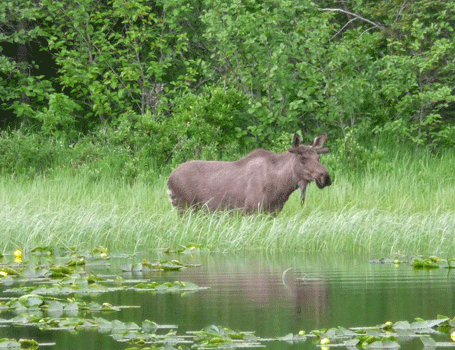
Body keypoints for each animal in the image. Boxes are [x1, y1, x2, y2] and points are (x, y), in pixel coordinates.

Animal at [167, 134, 332, 216]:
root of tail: (168, 181)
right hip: (185, 208)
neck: (281, 186)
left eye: (318, 157)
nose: (326, 177)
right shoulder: (251, 211)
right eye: (303, 158)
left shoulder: (272, 213)